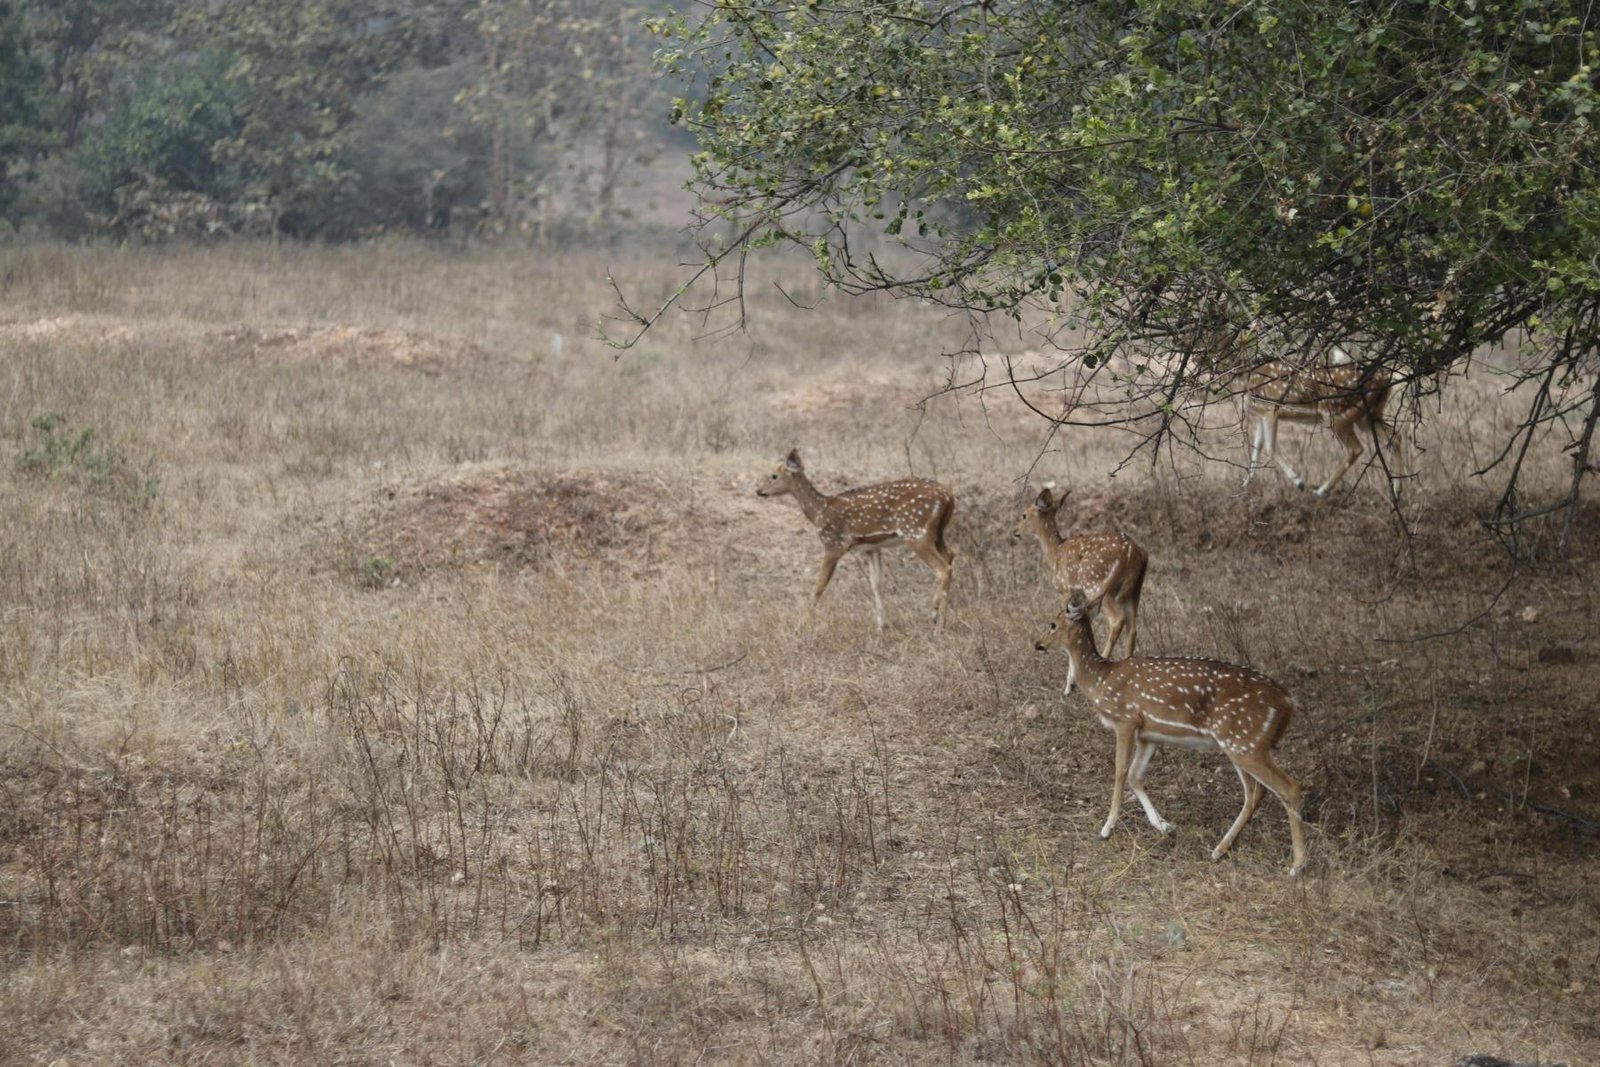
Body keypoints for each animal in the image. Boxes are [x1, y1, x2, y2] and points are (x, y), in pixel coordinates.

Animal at [756, 449, 955, 633]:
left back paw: (939, 626)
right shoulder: (871, 548)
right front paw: (880, 628)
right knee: (950, 556)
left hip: (916, 532)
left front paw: (800, 626)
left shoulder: (833, 544)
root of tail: (948, 496)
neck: (818, 512)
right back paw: (936, 614)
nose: (759, 491)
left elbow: (819, 585)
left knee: (943, 568)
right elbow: (877, 584)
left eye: (774, 476)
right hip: (936, 533)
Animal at [1012, 484, 1147, 694]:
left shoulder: (1066, 590)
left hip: (1098, 585)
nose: (1015, 531)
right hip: (1133, 591)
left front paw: (1068, 686)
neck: (1055, 553)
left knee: (1117, 620)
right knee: (1132, 628)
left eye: (1024, 515)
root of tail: (1135, 554)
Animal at [1034, 590, 1308, 877]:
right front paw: (1164, 826)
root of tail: (1288, 703)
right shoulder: (1149, 734)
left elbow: (1120, 771)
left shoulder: (1126, 720)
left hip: (1247, 743)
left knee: (1289, 788)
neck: (1100, 680)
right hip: (1240, 744)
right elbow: (1135, 776)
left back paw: (1297, 865)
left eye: (1052, 624)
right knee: (1256, 792)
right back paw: (1220, 850)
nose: (1037, 643)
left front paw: (1106, 829)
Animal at [1238, 347, 1410, 497]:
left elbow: (1269, 448)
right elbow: (1257, 447)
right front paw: (1245, 484)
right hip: (1368, 416)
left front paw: (1299, 482)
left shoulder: (1270, 409)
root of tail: (1384, 381)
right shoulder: (1260, 414)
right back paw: (1397, 491)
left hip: (1337, 414)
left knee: (1355, 449)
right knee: (1395, 436)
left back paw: (1321, 490)